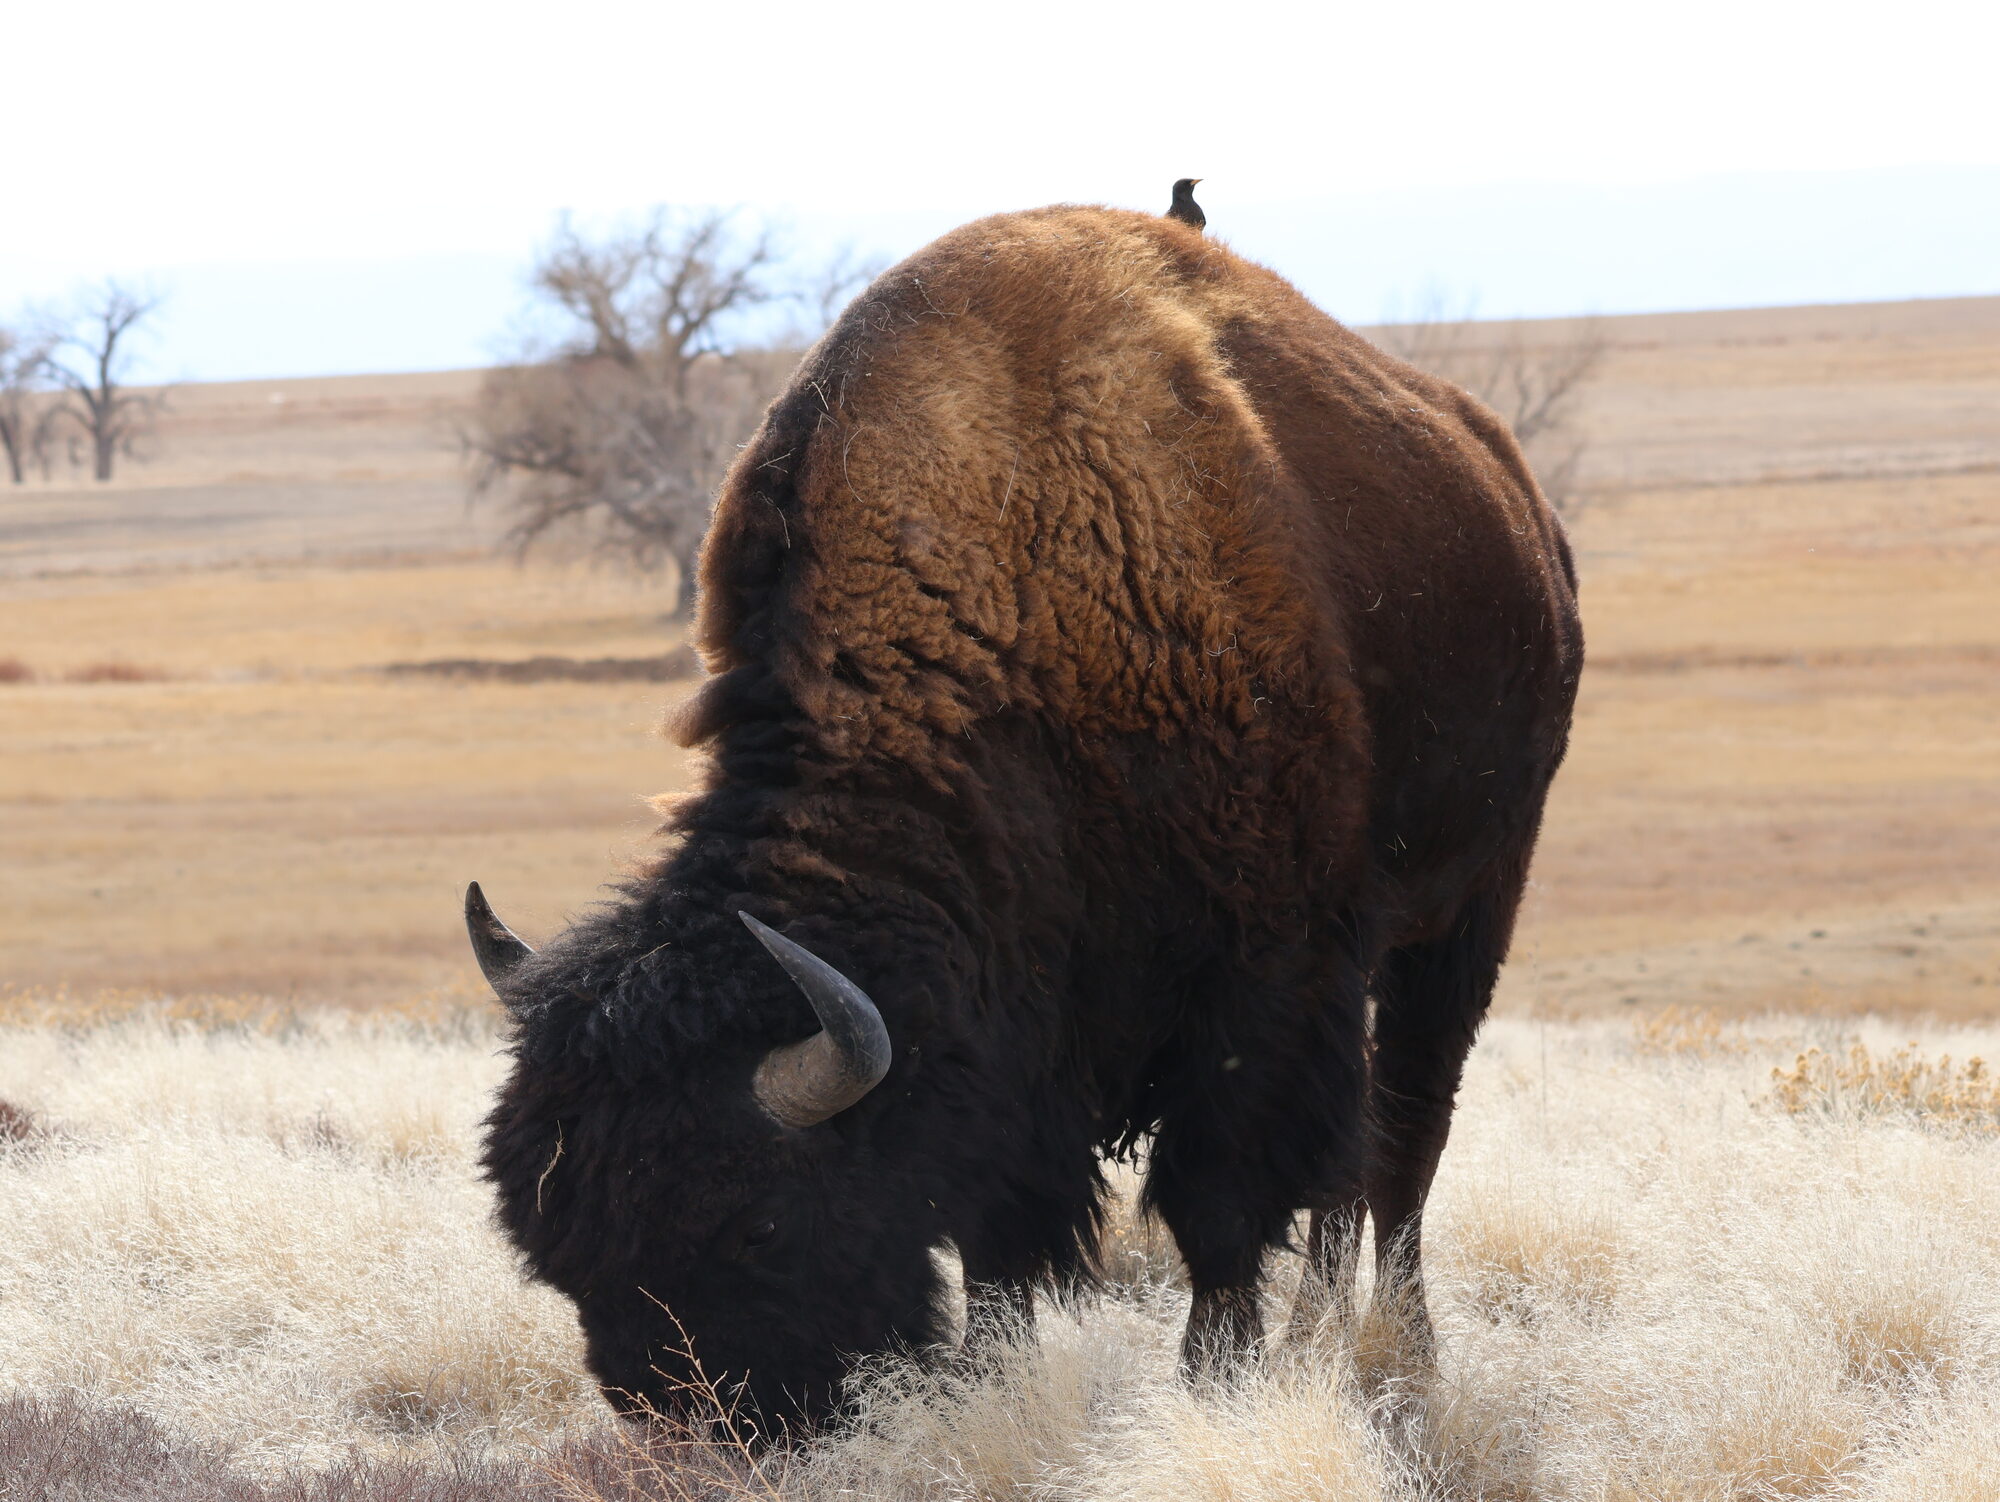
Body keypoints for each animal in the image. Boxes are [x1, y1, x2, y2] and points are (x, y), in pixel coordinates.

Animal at [470, 205, 1582, 1432]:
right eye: (554, 1248)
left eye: (755, 1225)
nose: (712, 1422)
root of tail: (1515, 498)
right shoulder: (1020, 1037)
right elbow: (1001, 1242)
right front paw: (995, 1375)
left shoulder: (1264, 979)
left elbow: (1222, 1206)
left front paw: (1212, 1382)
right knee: (1354, 1167)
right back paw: (1321, 1340)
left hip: (1467, 907)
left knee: (1404, 1134)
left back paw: (1399, 1357)